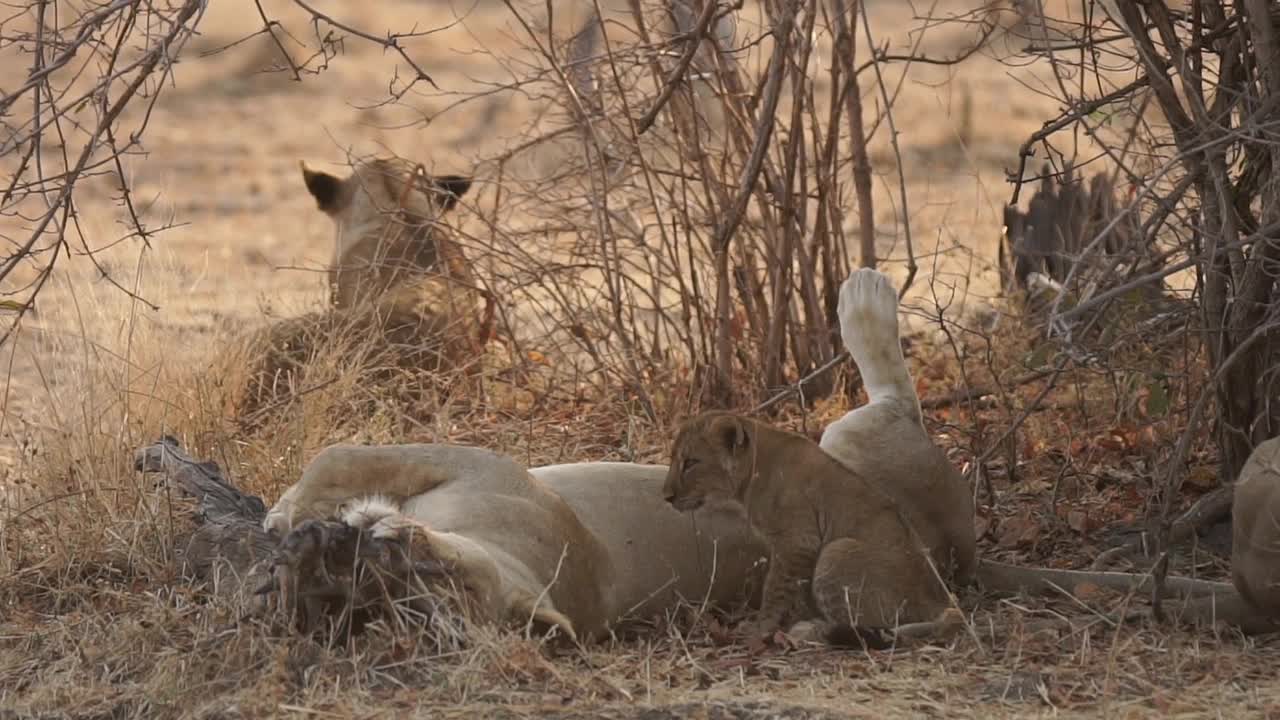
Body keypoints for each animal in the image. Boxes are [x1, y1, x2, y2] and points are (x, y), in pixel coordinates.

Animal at [254, 443, 762, 638]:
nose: (378, 557)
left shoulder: (474, 463)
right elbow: (334, 460)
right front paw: (289, 519)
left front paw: (288, 521)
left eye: (397, 603)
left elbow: (336, 457)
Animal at [665, 409, 957, 645]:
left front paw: (760, 629)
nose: (666, 496)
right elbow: (797, 592)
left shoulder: (797, 542)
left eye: (690, 463)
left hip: (836, 550)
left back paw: (809, 631)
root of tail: (942, 601)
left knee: (868, 625)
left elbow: (775, 589)